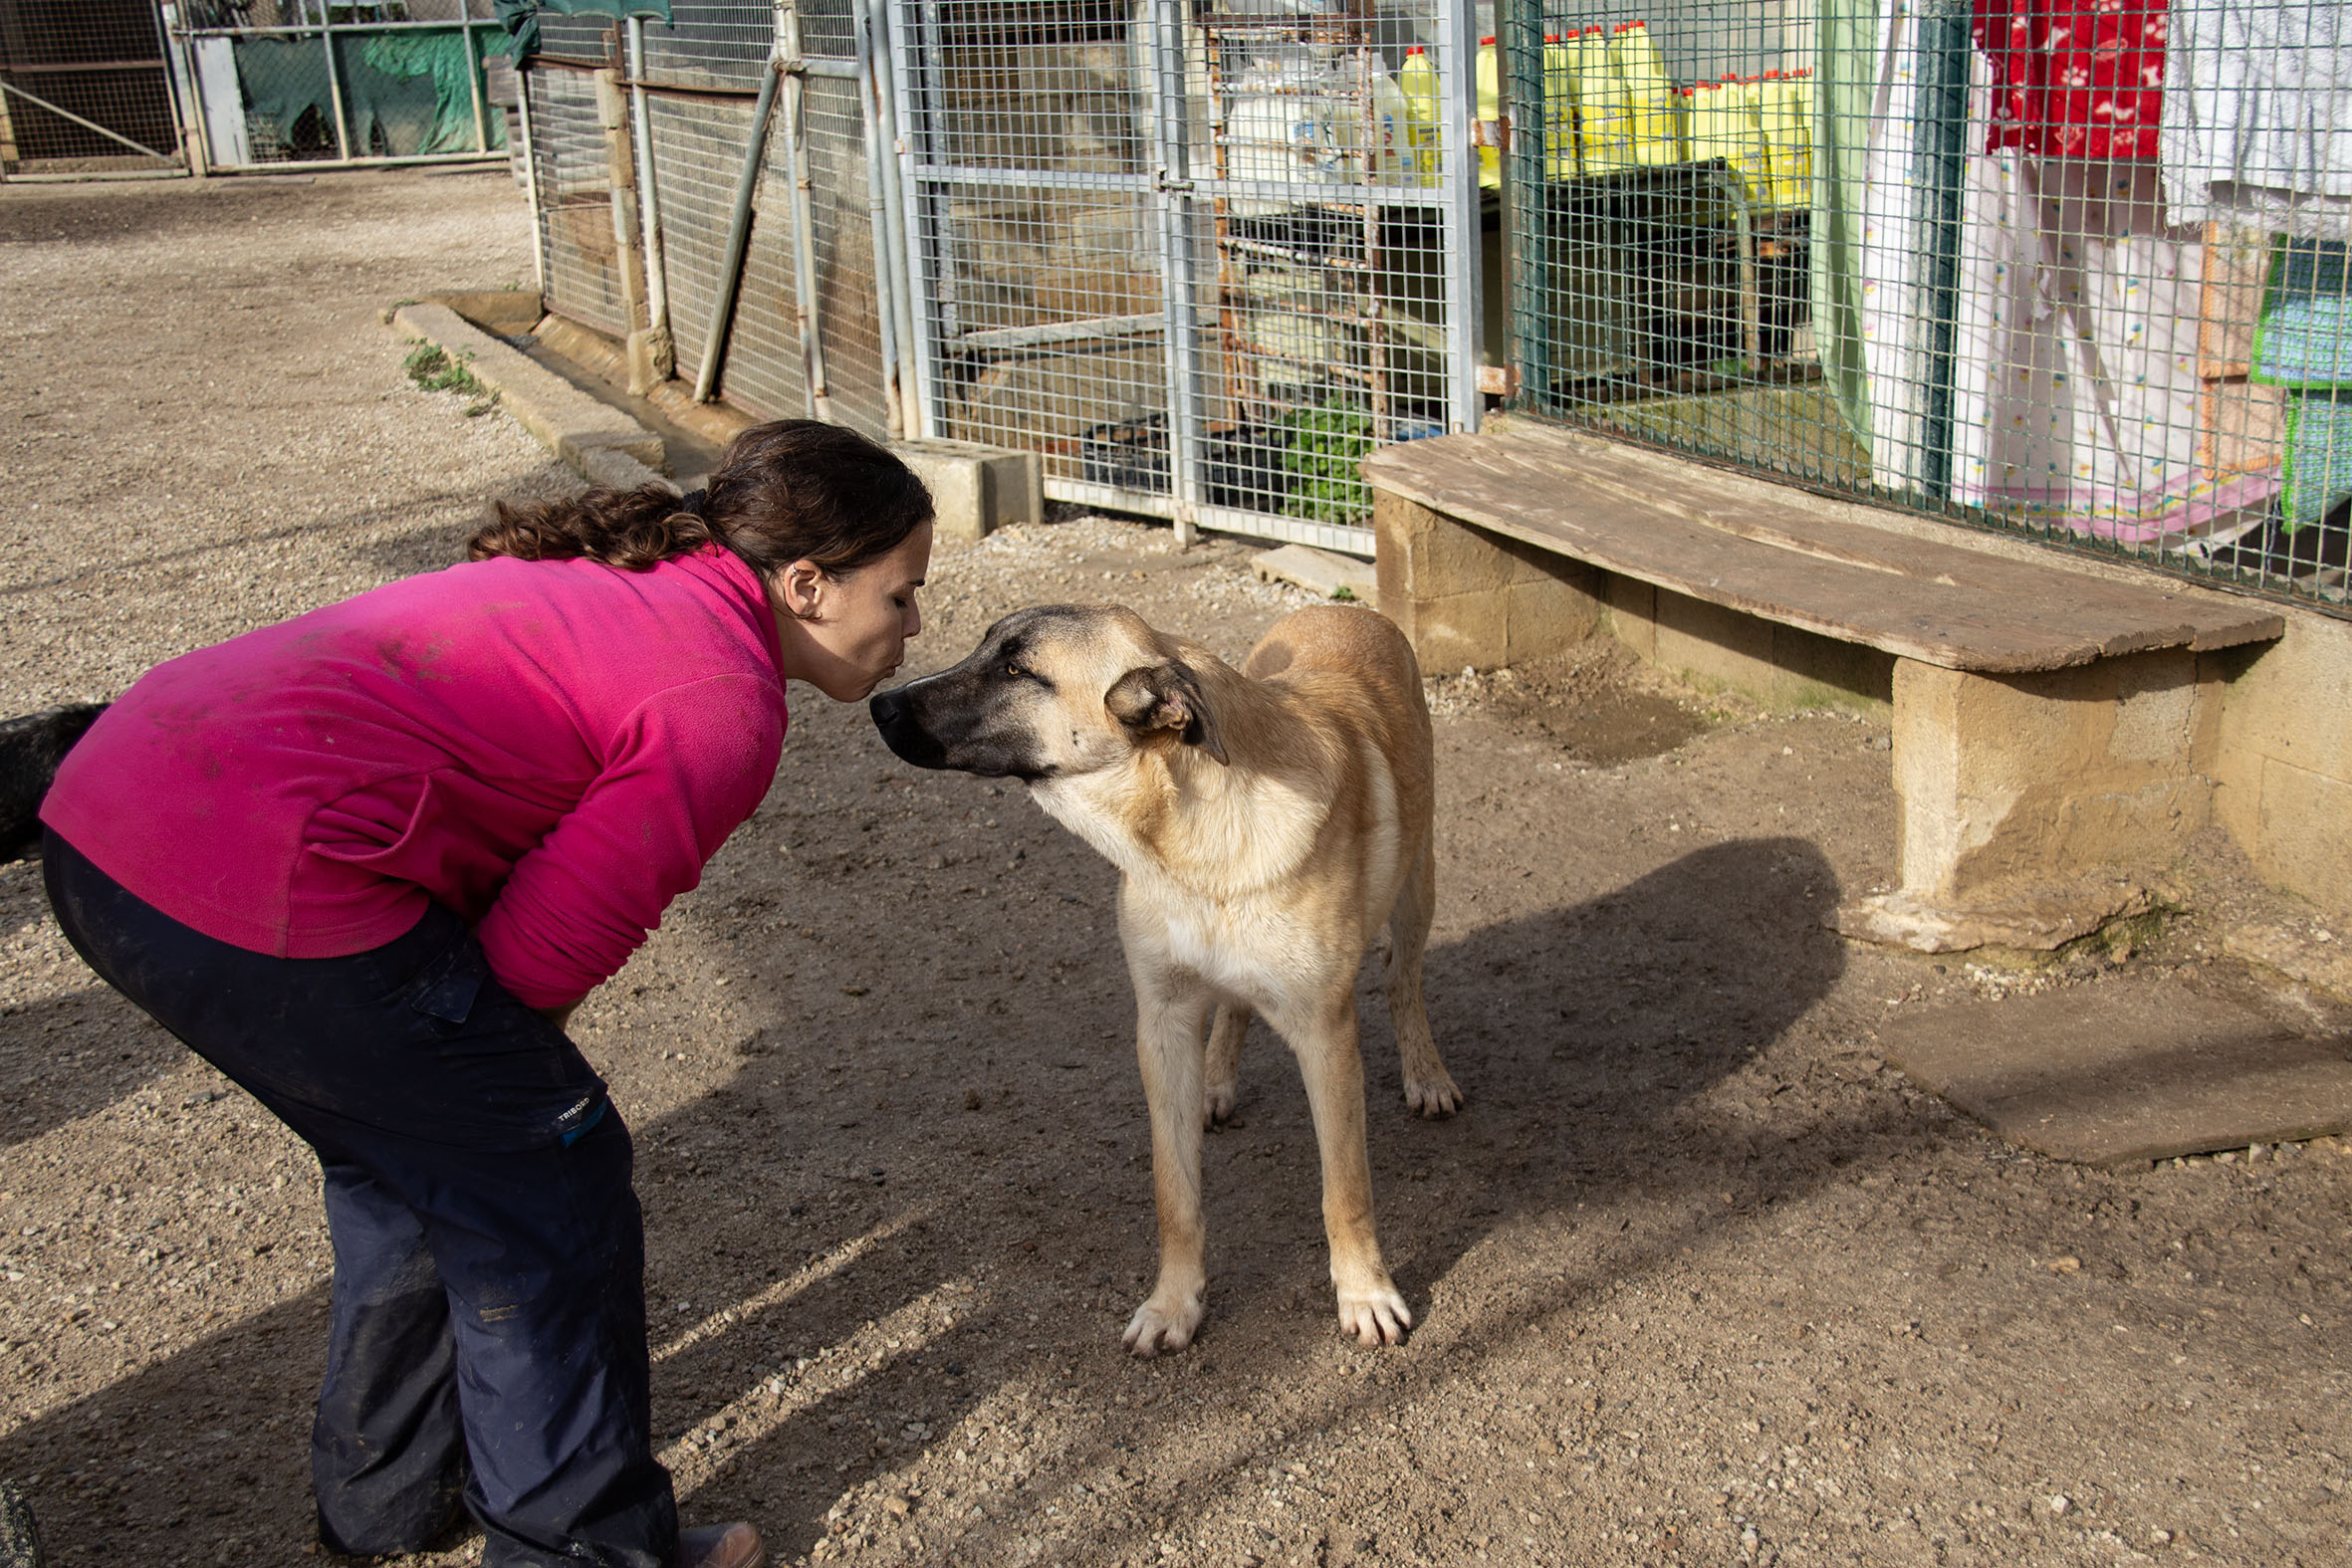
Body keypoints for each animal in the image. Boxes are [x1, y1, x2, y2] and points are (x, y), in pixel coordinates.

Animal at [871, 603, 1459, 1354]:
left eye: (1017, 668)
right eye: (986, 646)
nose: (878, 703)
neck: (1191, 842)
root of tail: (1343, 607)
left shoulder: (1327, 1037)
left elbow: (1345, 1191)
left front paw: (1366, 1293)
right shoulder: (1163, 1023)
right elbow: (1173, 1194)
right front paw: (1175, 1302)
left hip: (1417, 888)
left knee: (1402, 980)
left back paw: (1427, 1074)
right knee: (1237, 1006)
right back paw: (1216, 1082)